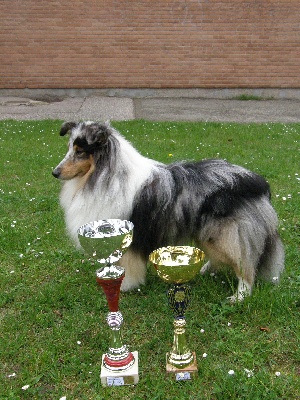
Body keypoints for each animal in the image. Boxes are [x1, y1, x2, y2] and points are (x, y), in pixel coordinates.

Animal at [52, 120, 284, 302]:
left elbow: (129, 264)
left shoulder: (132, 235)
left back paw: (239, 296)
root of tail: (258, 182)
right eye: (69, 149)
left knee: (246, 265)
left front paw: (125, 286)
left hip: (229, 234)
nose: (55, 172)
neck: (105, 176)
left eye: (80, 152)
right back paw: (204, 270)